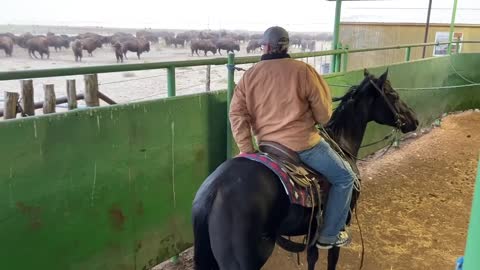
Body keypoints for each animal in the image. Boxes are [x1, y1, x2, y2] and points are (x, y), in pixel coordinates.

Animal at [191, 68, 416, 268]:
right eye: (393, 95)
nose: (414, 120)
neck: (341, 142)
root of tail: (213, 191)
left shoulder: (313, 231)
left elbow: (312, 259)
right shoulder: (340, 223)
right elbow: (332, 259)